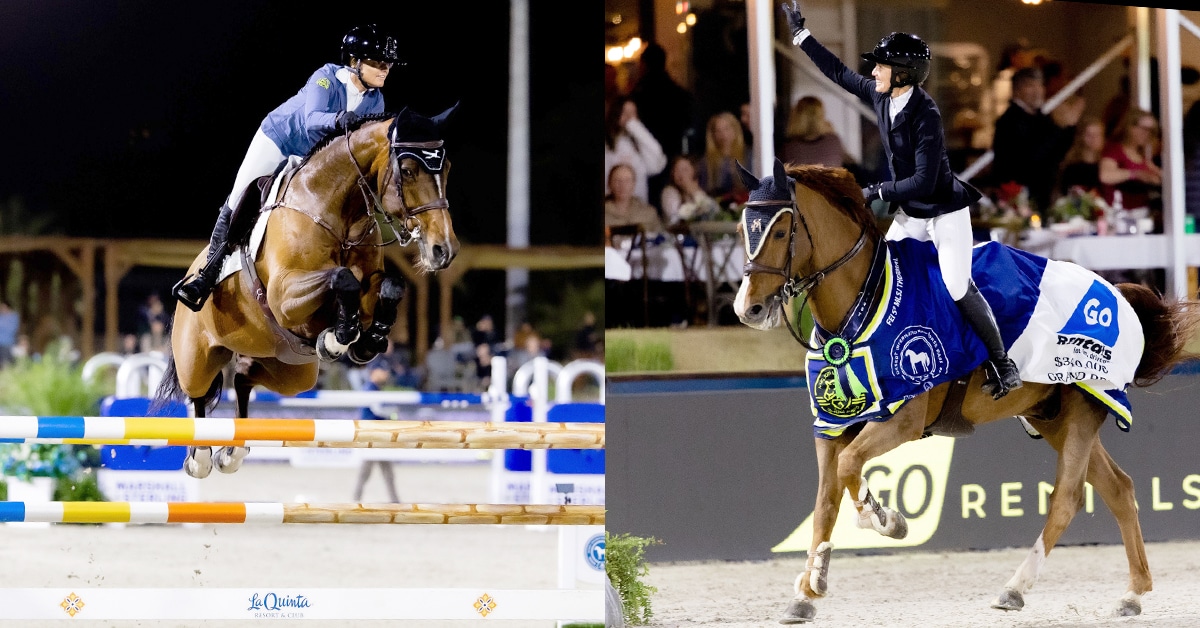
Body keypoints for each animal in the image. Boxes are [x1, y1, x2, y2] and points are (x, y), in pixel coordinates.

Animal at [154, 105, 460, 479]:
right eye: (408, 170)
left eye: (446, 168)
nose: (443, 250)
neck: (336, 214)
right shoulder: (284, 296)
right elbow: (342, 278)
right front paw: (339, 337)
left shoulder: (367, 286)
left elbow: (390, 285)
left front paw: (367, 340)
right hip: (196, 355)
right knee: (197, 394)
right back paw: (200, 456)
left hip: (290, 372)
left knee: (243, 378)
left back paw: (233, 452)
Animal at [732, 157, 1200, 624]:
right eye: (742, 229)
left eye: (779, 231)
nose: (748, 309)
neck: (857, 307)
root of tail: (1116, 293)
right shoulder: (831, 425)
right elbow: (825, 503)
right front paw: (808, 591)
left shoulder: (903, 418)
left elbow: (850, 469)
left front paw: (885, 521)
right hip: (1054, 416)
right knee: (1119, 489)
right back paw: (1133, 593)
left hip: (1084, 408)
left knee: (1068, 497)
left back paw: (1015, 588)